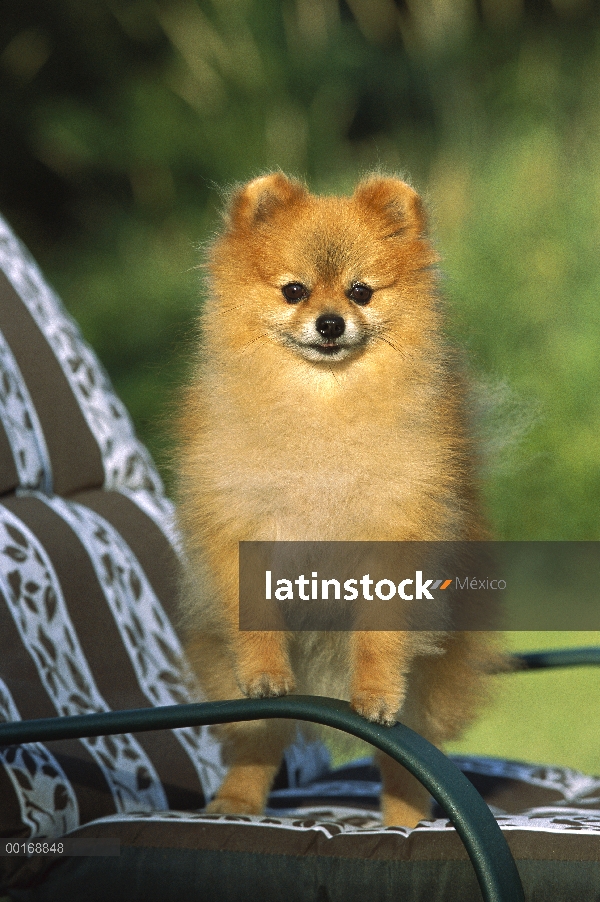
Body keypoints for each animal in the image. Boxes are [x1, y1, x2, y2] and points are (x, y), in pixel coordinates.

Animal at [176, 171, 500, 828]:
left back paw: (404, 820)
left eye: (361, 292)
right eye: (294, 291)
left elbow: (378, 641)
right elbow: (257, 627)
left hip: (433, 681)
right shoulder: (243, 532)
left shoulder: (395, 544)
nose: (330, 323)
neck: (324, 412)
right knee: (261, 735)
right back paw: (237, 800)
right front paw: (267, 672)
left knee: (405, 759)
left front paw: (372, 695)